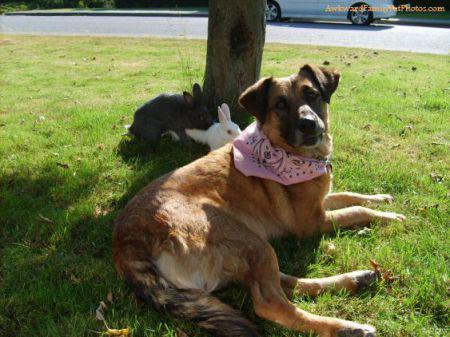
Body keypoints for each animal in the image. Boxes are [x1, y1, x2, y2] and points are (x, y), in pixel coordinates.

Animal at [112, 63, 404, 336]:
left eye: (312, 94)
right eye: (280, 104)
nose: (309, 124)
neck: (289, 152)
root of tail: (126, 245)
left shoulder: (320, 203)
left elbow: (349, 196)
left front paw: (382, 199)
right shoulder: (312, 222)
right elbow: (356, 211)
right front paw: (389, 217)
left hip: (250, 250)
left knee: (286, 283)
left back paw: (357, 279)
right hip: (250, 241)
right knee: (271, 304)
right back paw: (346, 327)